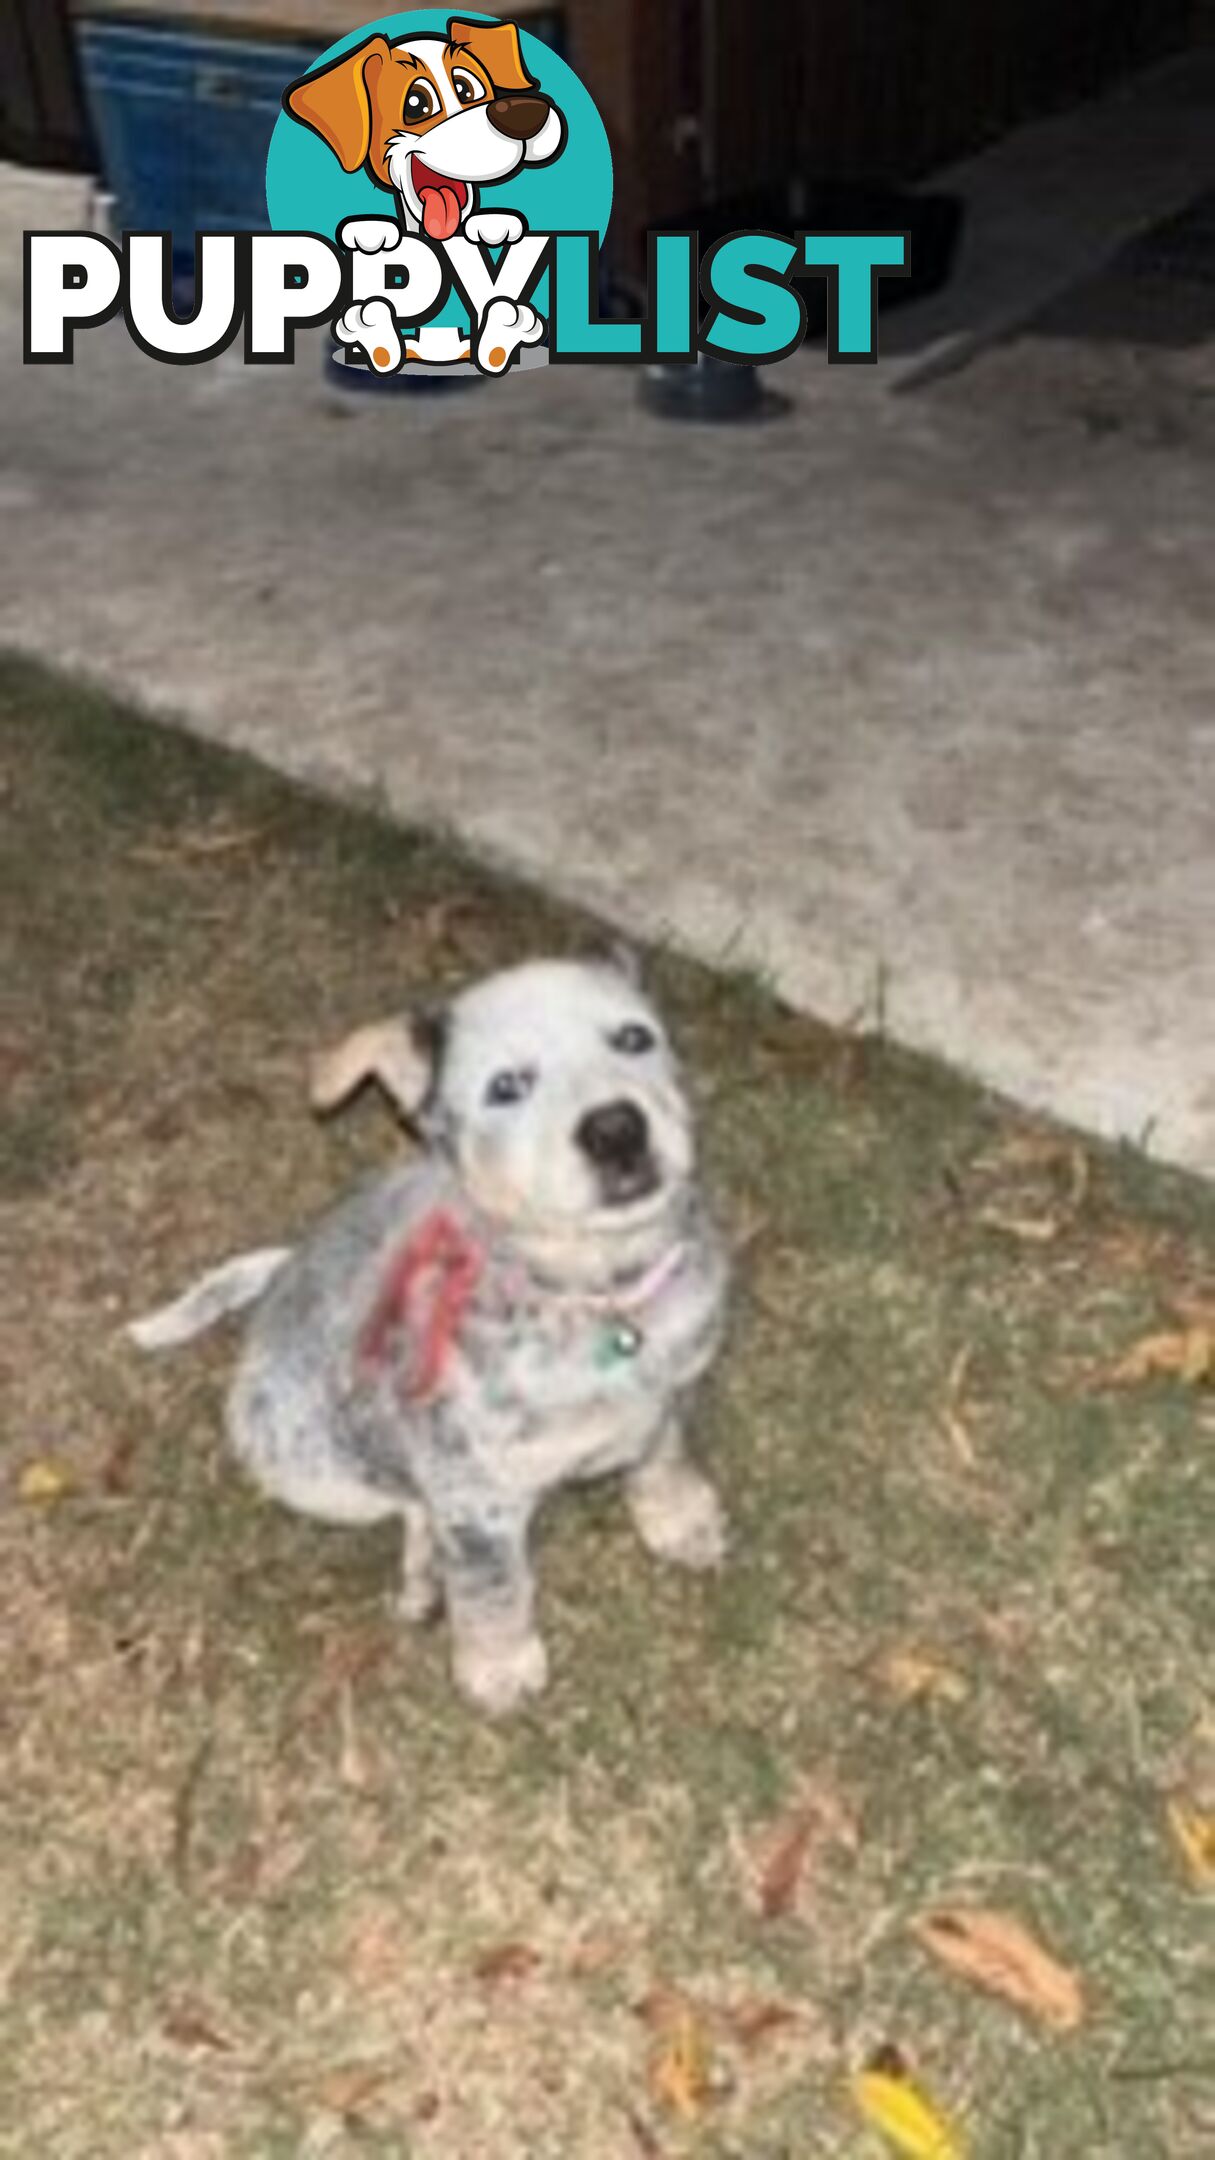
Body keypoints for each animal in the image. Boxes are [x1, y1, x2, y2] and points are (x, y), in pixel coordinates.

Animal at [130, 954, 726, 1710]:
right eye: (506, 1087)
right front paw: (499, 1663)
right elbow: (491, 1580)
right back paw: (424, 1571)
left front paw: (680, 1518)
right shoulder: (470, 1486)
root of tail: (283, 1272)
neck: (597, 1298)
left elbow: (663, 1455)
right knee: (406, 1504)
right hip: (312, 1470)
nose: (616, 1128)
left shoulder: (675, 1390)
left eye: (633, 1038)